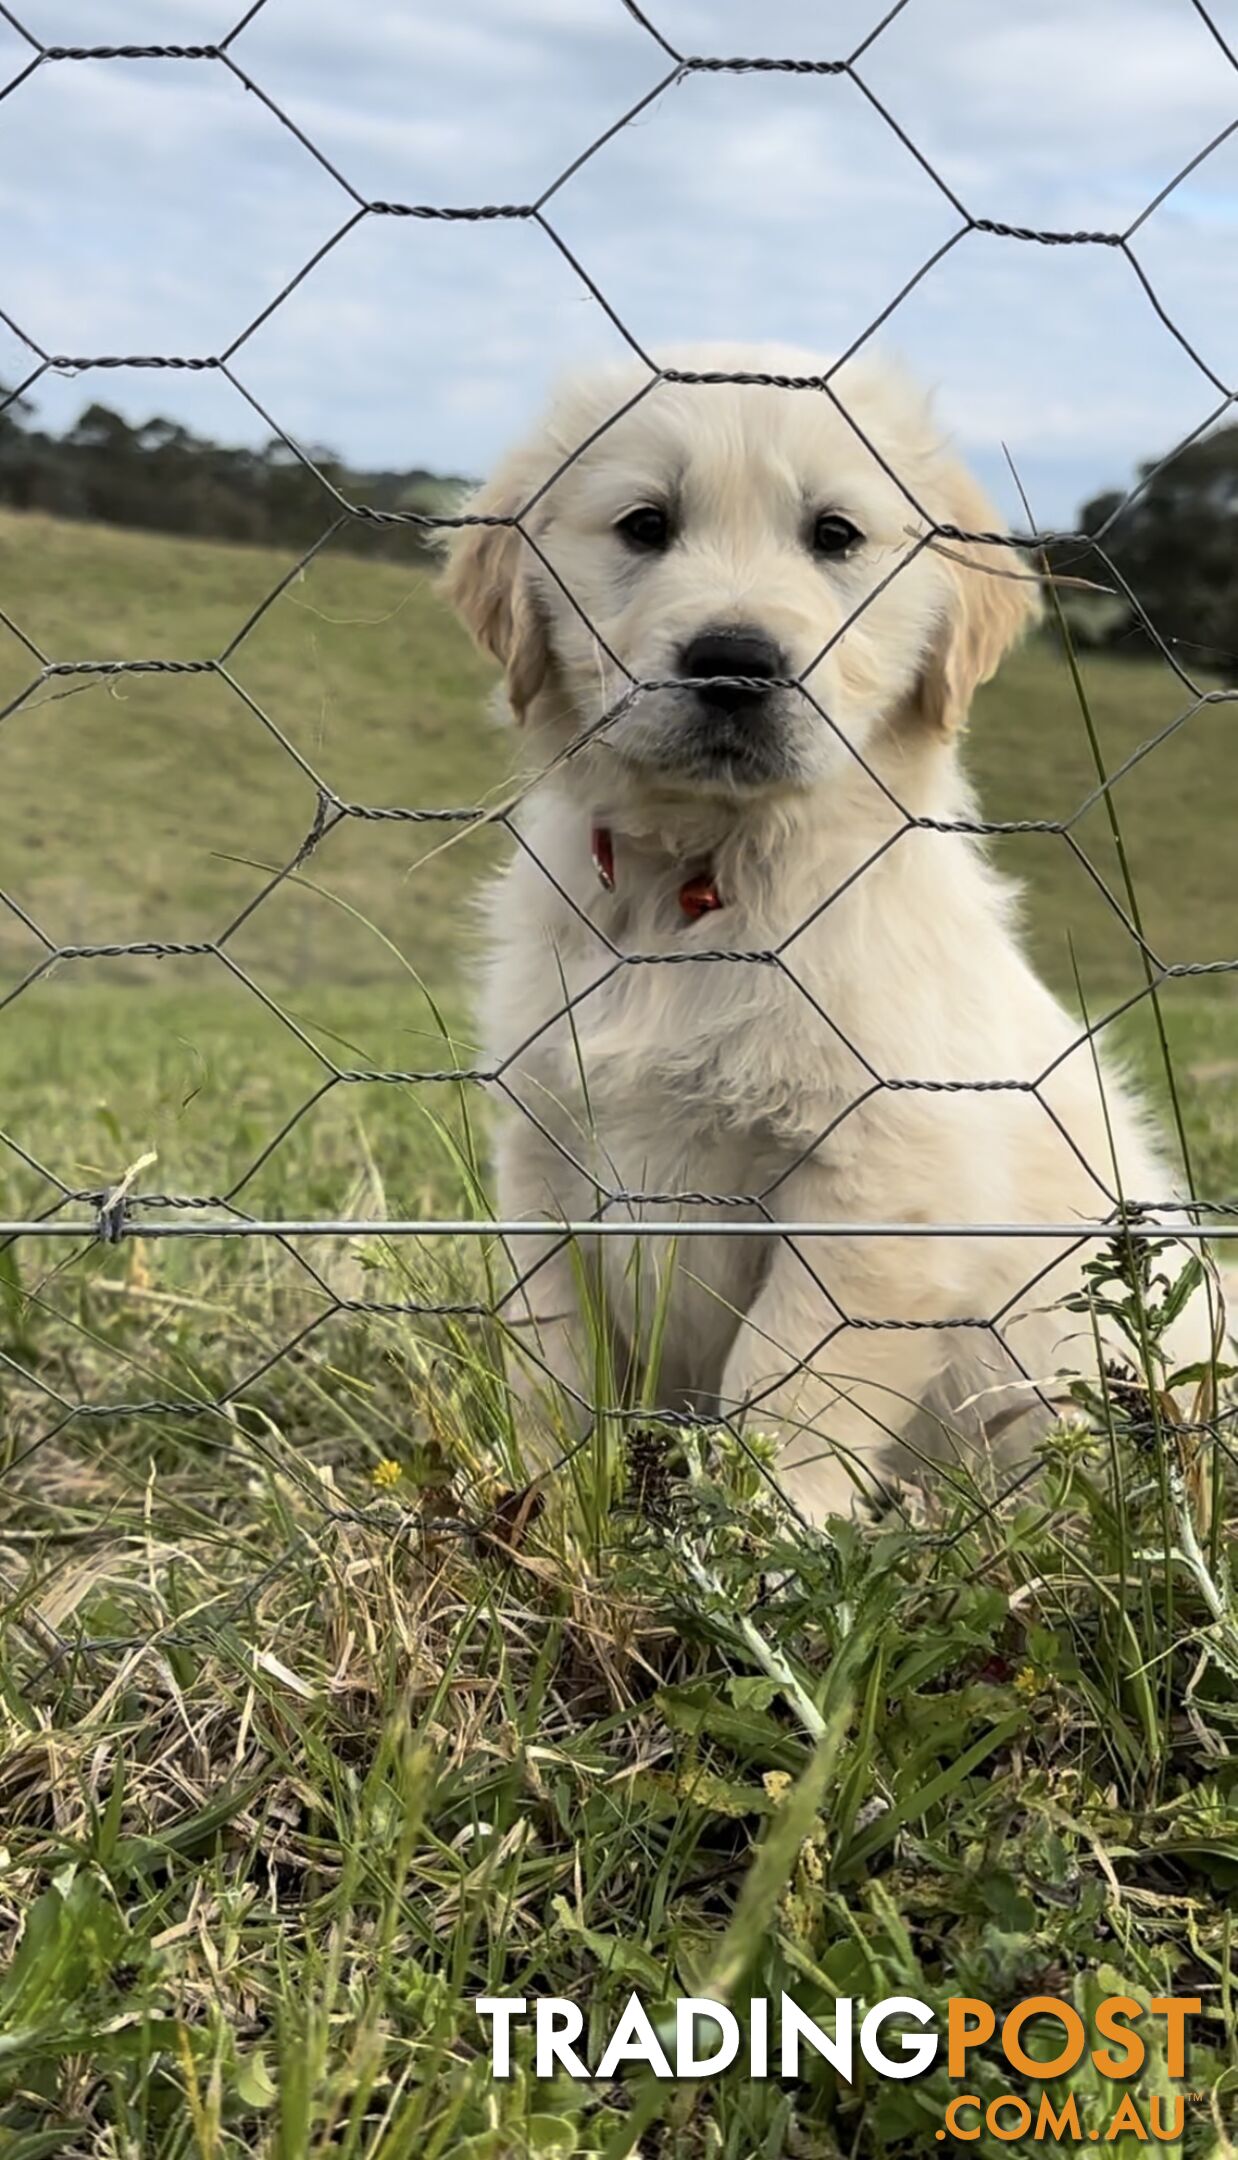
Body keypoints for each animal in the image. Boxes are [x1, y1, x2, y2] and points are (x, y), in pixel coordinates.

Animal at [440, 341, 1209, 1520]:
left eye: (834, 536)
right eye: (644, 526)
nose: (734, 660)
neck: (704, 881)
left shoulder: (882, 1174)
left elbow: (791, 1376)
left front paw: (768, 1527)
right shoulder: (545, 1152)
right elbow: (551, 1353)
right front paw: (545, 1499)